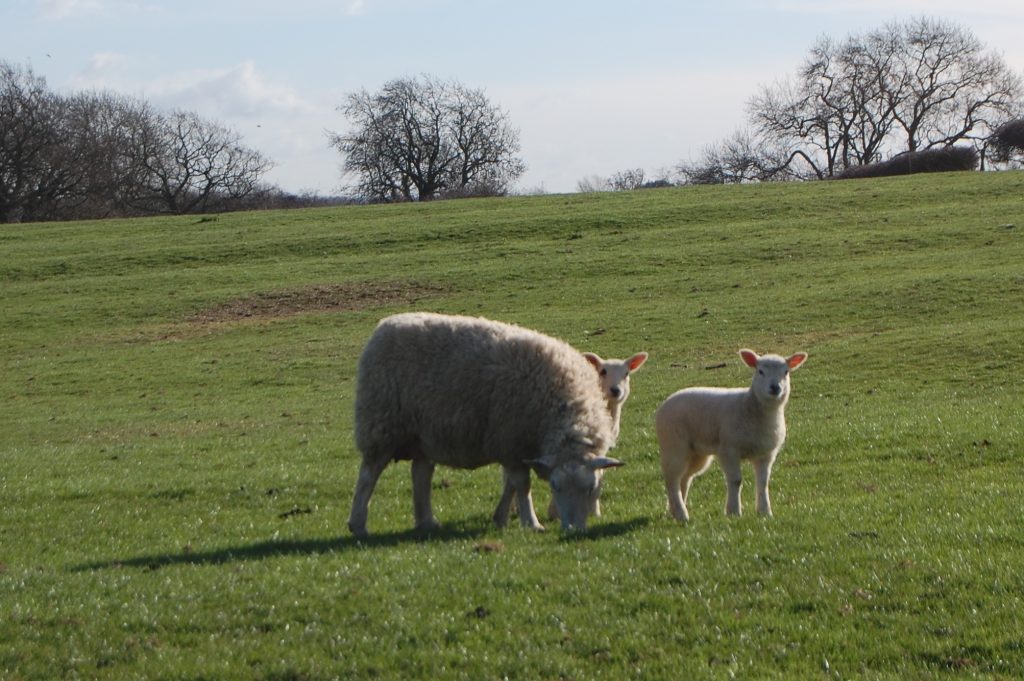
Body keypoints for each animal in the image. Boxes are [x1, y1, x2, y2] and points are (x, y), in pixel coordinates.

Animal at [348, 312, 624, 537]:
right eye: (555, 486)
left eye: (593, 488)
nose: (573, 530)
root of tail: (386, 324)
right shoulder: (511, 441)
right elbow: (521, 485)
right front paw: (531, 523)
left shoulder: (516, 448)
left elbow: (511, 485)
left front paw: (500, 518)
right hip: (381, 424)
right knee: (368, 475)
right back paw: (358, 525)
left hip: (425, 433)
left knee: (421, 474)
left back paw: (427, 522)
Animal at [491, 351, 649, 528]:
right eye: (603, 371)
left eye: (626, 373)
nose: (616, 390)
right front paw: (556, 512)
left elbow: (598, 473)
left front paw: (594, 511)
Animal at [655, 349, 808, 521]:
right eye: (760, 371)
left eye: (786, 372)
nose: (775, 387)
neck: (751, 406)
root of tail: (664, 404)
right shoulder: (729, 449)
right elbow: (736, 481)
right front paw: (733, 511)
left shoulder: (766, 454)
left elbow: (763, 482)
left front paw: (765, 512)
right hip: (674, 444)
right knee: (672, 479)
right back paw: (682, 514)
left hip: (696, 453)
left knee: (685, 478)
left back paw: (674, 511)